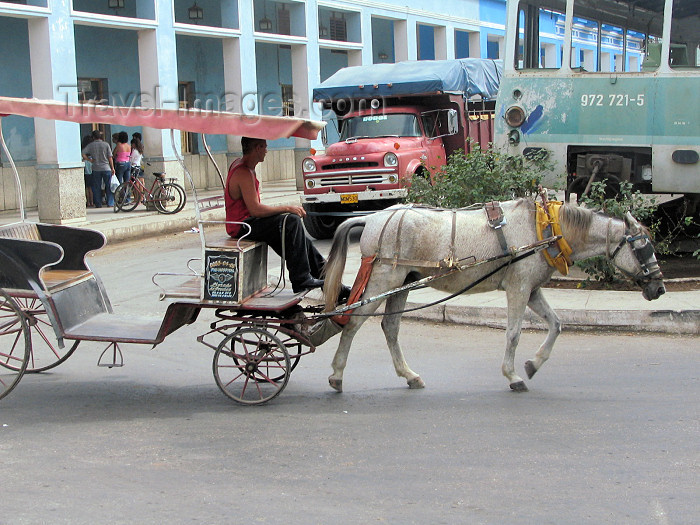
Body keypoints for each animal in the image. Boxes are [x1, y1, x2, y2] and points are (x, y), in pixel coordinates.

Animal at [322, 199, 668, 390]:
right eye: (642, 247)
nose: (660, 288)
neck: (544, 228)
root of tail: (374, 218)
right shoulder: (518, 288)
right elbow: (513, 333)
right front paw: (512, 375)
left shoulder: (532, 288)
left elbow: (556, 325)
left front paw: (533, 364)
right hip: (383, 280)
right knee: (352, 323)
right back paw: (337, 374)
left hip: (403, 281)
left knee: (390, 328)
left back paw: (409, 375)